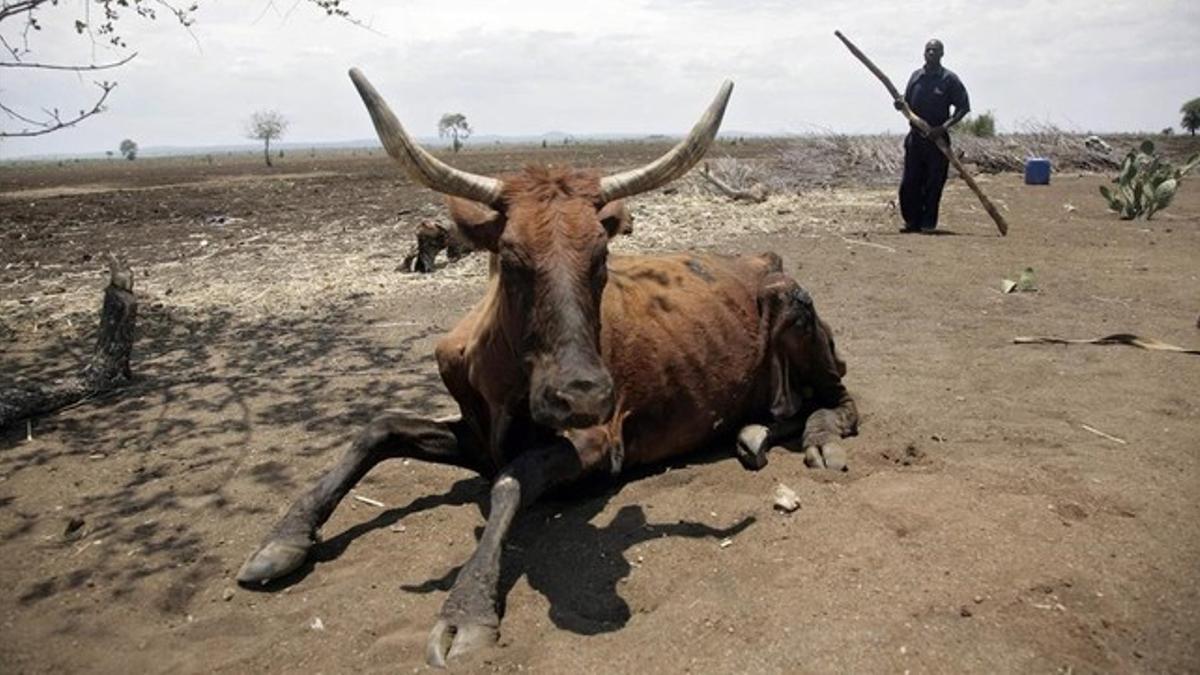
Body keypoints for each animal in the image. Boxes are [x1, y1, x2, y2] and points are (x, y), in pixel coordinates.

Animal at [236, 68, 854, 662]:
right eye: (510, 258)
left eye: (601, 255)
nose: (582, 394)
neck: (501, 376)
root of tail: (761, 257)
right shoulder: (475, 435)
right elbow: (377, 428)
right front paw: (282, 541)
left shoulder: (599, 444)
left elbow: (510, 482)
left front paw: (467, 611)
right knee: (787, 406)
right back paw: (753, 432)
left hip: (793, 306)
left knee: (836, 399)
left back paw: (818, 439)